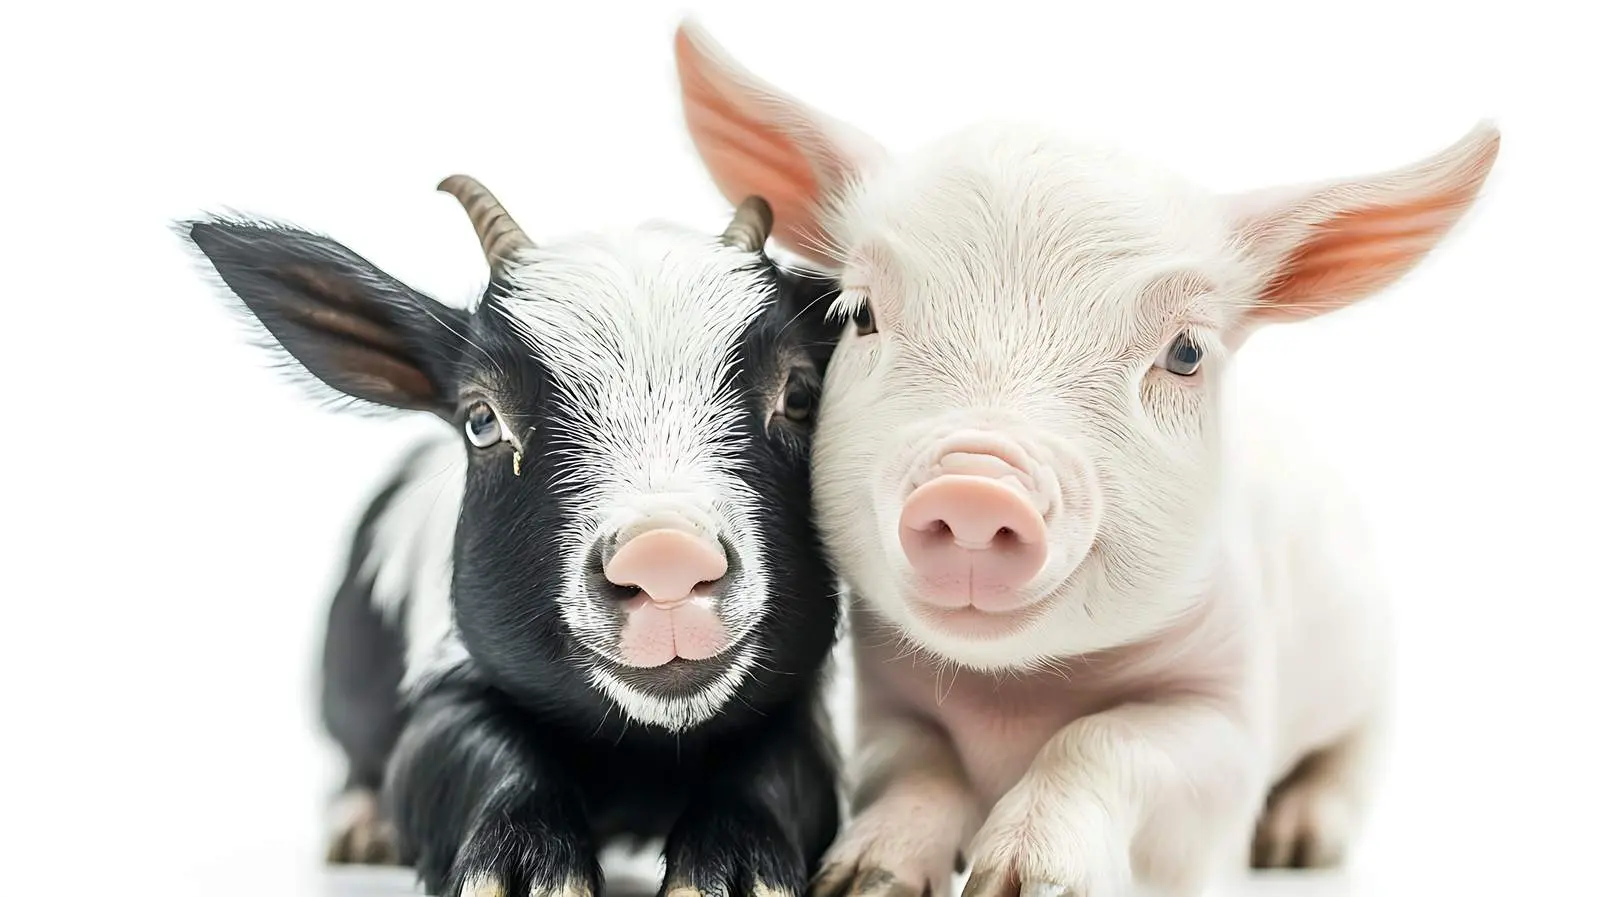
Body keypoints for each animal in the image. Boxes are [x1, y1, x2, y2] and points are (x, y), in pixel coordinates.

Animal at [670, 18, 1499, 897]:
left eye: (1185, 352)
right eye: (859, 314)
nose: (977, 486)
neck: (1014, 698)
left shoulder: (1229, 713)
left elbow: (1109, 738)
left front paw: (1023, 882)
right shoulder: (883, 699)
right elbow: (917, 765)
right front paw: (861, 879)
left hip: (1372, 662)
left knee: (1353, 754)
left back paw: (1298, 844)